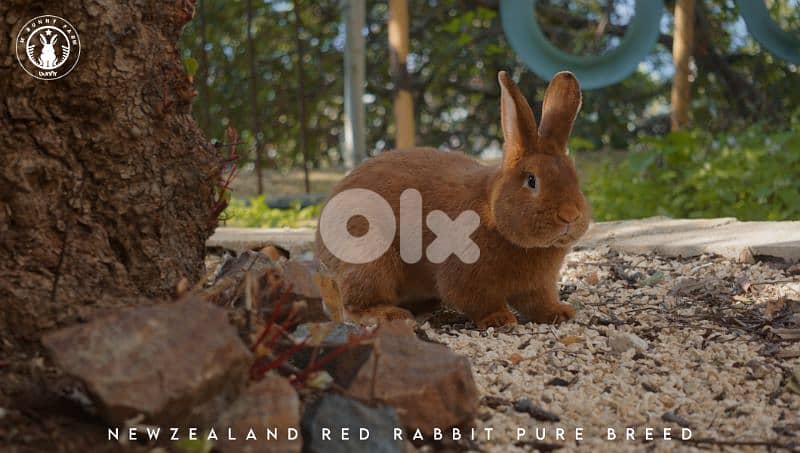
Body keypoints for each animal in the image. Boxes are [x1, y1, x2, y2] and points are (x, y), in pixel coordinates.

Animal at [315, 71, 590, 329]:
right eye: (532, 180)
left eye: (575, 177)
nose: (570, 215)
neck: (492, 212)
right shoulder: (465, 275)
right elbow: (476, 300)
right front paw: (500, 319)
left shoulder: (537, 286)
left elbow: (539, 302)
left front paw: (561, 313)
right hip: (368, 258)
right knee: (354, 305)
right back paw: (391, 314)